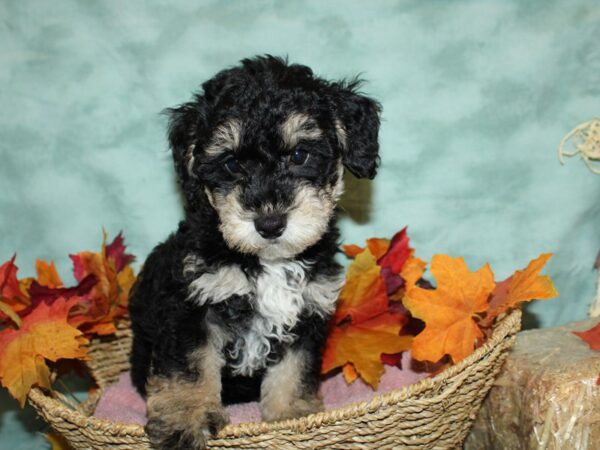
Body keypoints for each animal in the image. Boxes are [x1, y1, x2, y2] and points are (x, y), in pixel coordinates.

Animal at [129, 54, 382, 448]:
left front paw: (292, 415)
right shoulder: (189, 303)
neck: (267, 261)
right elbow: (188, 368)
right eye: (232, 163)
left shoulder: (308, 310)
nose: (270, 223)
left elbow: (295, 369)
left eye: (299, 155)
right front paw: (185, 421)